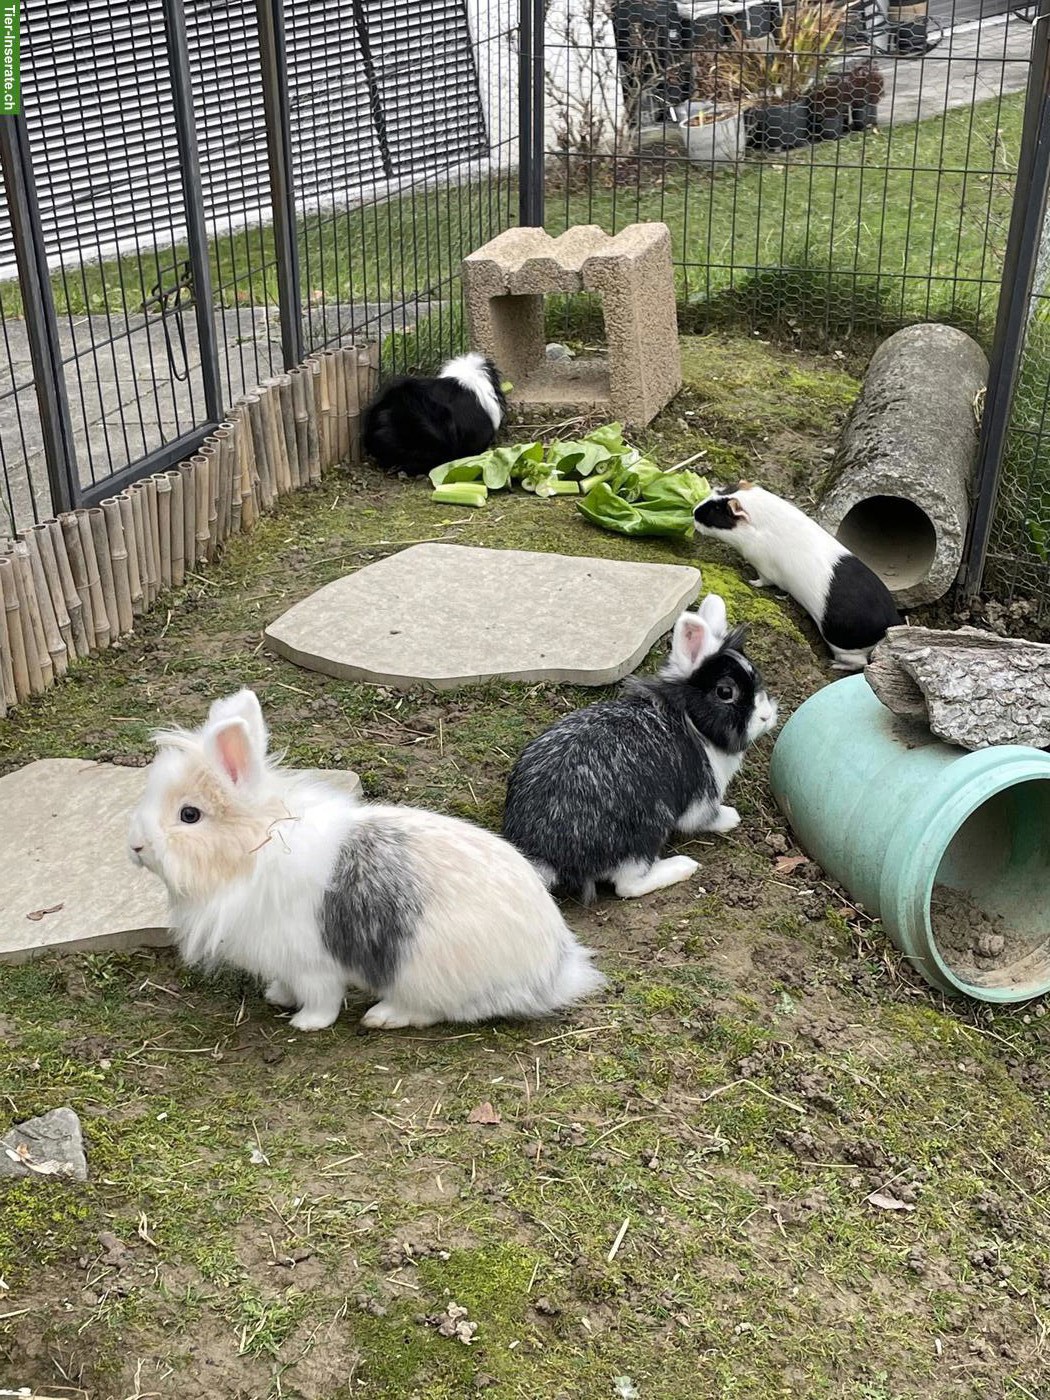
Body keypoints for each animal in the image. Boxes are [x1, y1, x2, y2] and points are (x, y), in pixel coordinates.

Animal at [127, 688, 604, 1032]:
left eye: (189, 815)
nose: (136, 846)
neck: (255, 849)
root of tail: (553, 971)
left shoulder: (313, 963)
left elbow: (322, 999)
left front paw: (305, 1024)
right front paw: (277, 997)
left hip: (425, 975)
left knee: (436, 1011)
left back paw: (382, 1016)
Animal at [502, 595, 777, 903]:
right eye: (725, 692)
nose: (766, 717)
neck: (689, 719)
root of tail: (548, 857)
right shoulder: (701, 798)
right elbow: (705, 818)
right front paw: (731, 818)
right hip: (645, 835)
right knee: (627, 886)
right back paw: (683, 866)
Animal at [693, 481, 900, 671]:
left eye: (716, 511)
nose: (694, 513)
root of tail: (891, 622)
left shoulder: (763, 568)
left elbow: (762, 581)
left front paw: (751, 581)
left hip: (844, 648)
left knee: (859, 663)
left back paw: (833, 664)